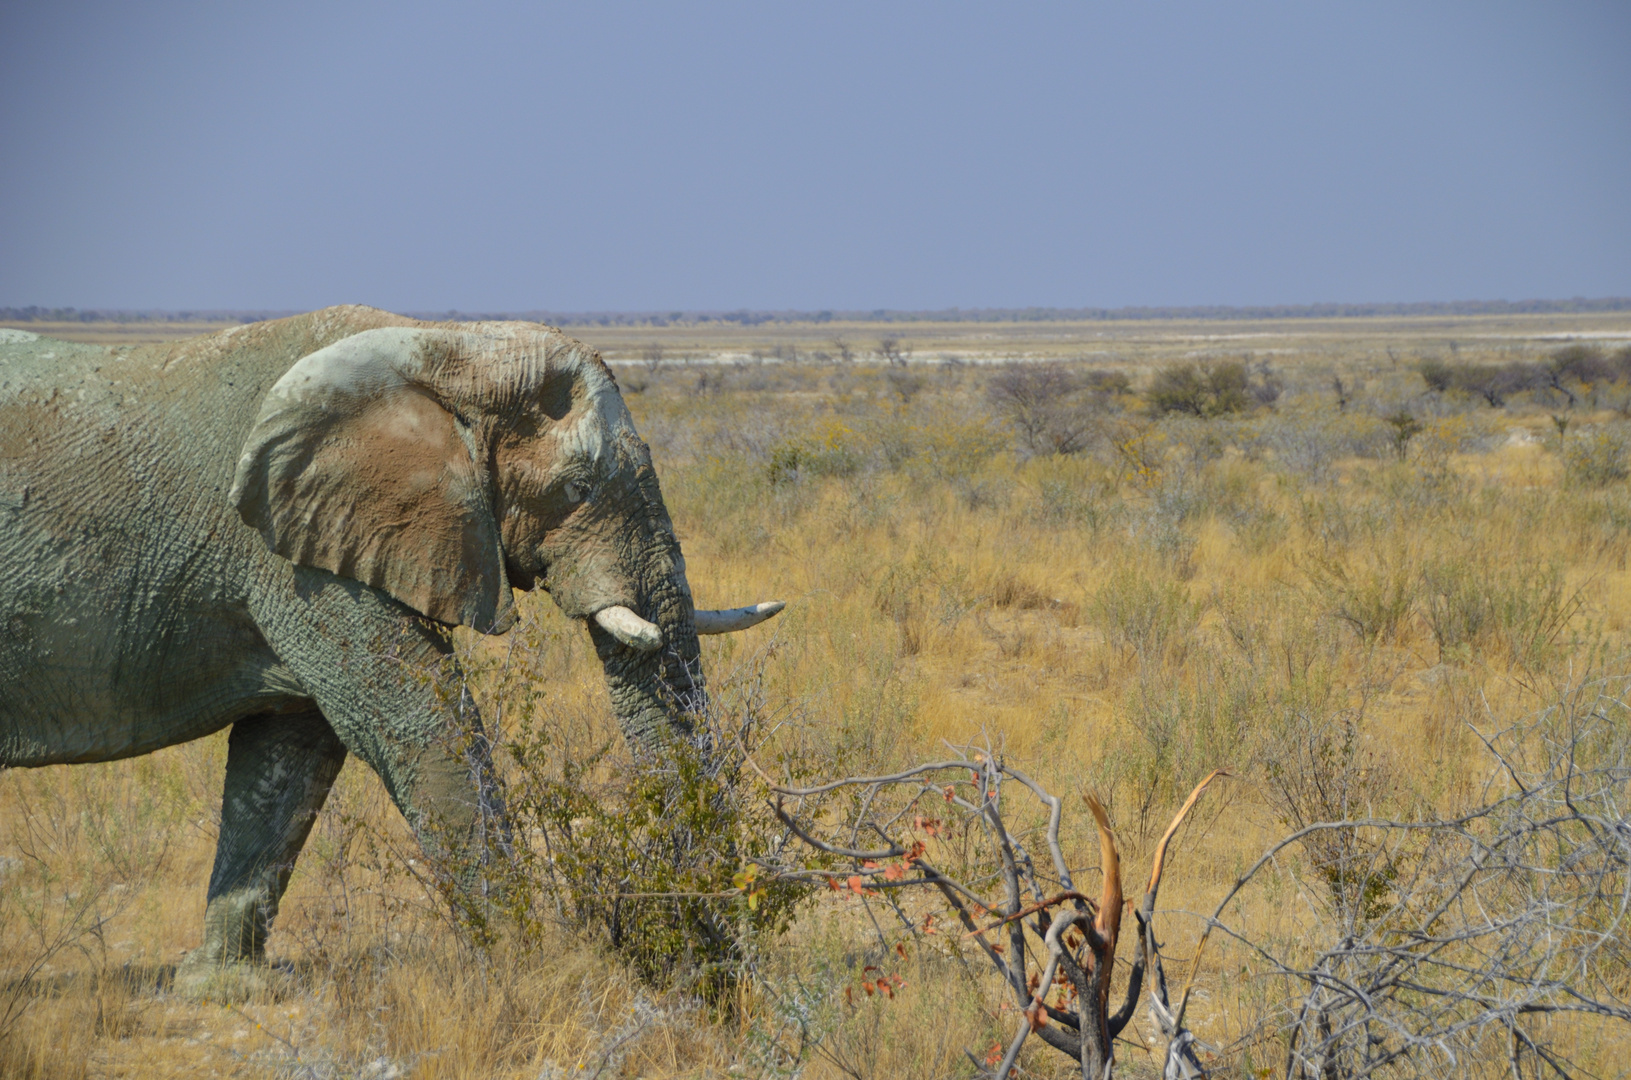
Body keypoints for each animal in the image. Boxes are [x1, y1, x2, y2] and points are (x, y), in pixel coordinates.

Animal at [0, 306, 782, 998]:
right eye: (576, 488)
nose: (716, 976)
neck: (446, 346)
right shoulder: (295, 558)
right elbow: (417, 727)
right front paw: (543, 969)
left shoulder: (316, 541)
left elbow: (289, 754)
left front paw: (224, 988)